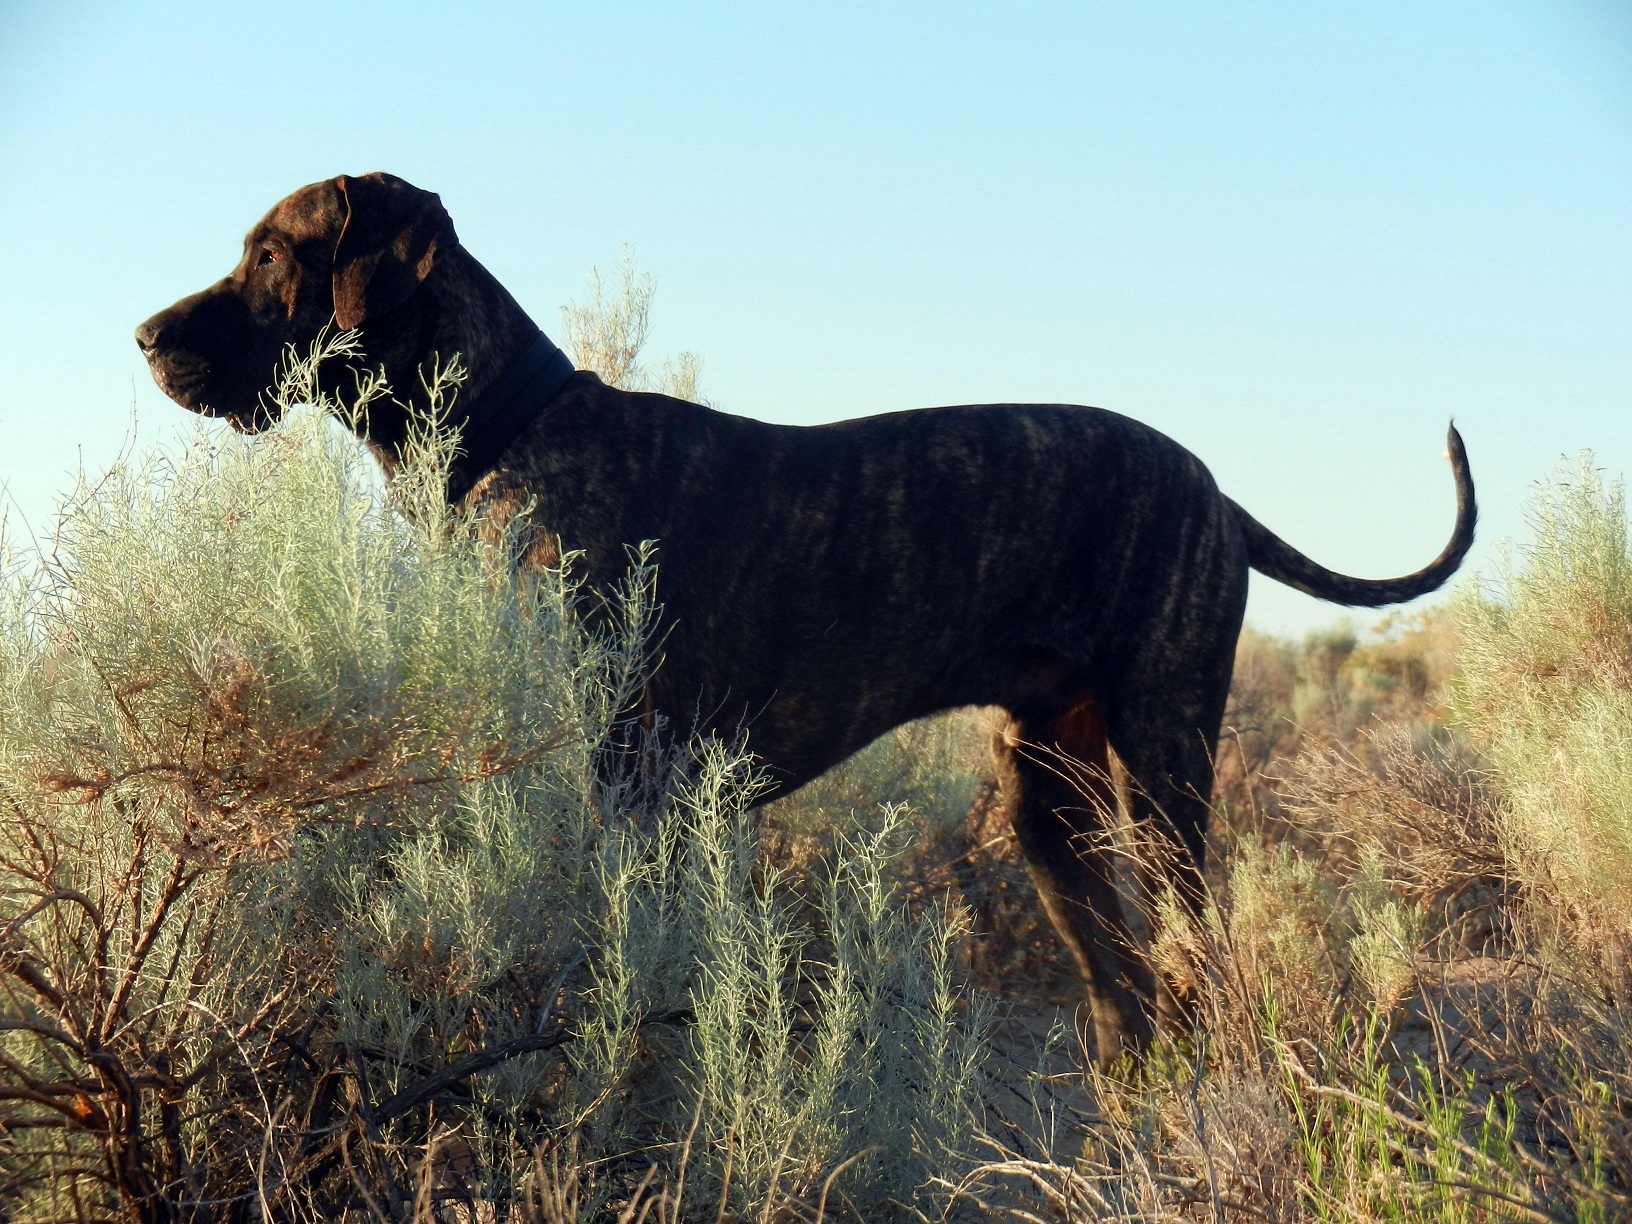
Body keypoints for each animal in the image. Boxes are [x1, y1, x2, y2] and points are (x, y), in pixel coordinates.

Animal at [133, 170, 1475, 1064]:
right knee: (1128, 997)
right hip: (1052, 807)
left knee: (1196, 955)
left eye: (273, 255)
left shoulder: (620, 785)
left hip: (1165, 769)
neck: (507, 432)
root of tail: (1218, 492)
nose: (144, 335)